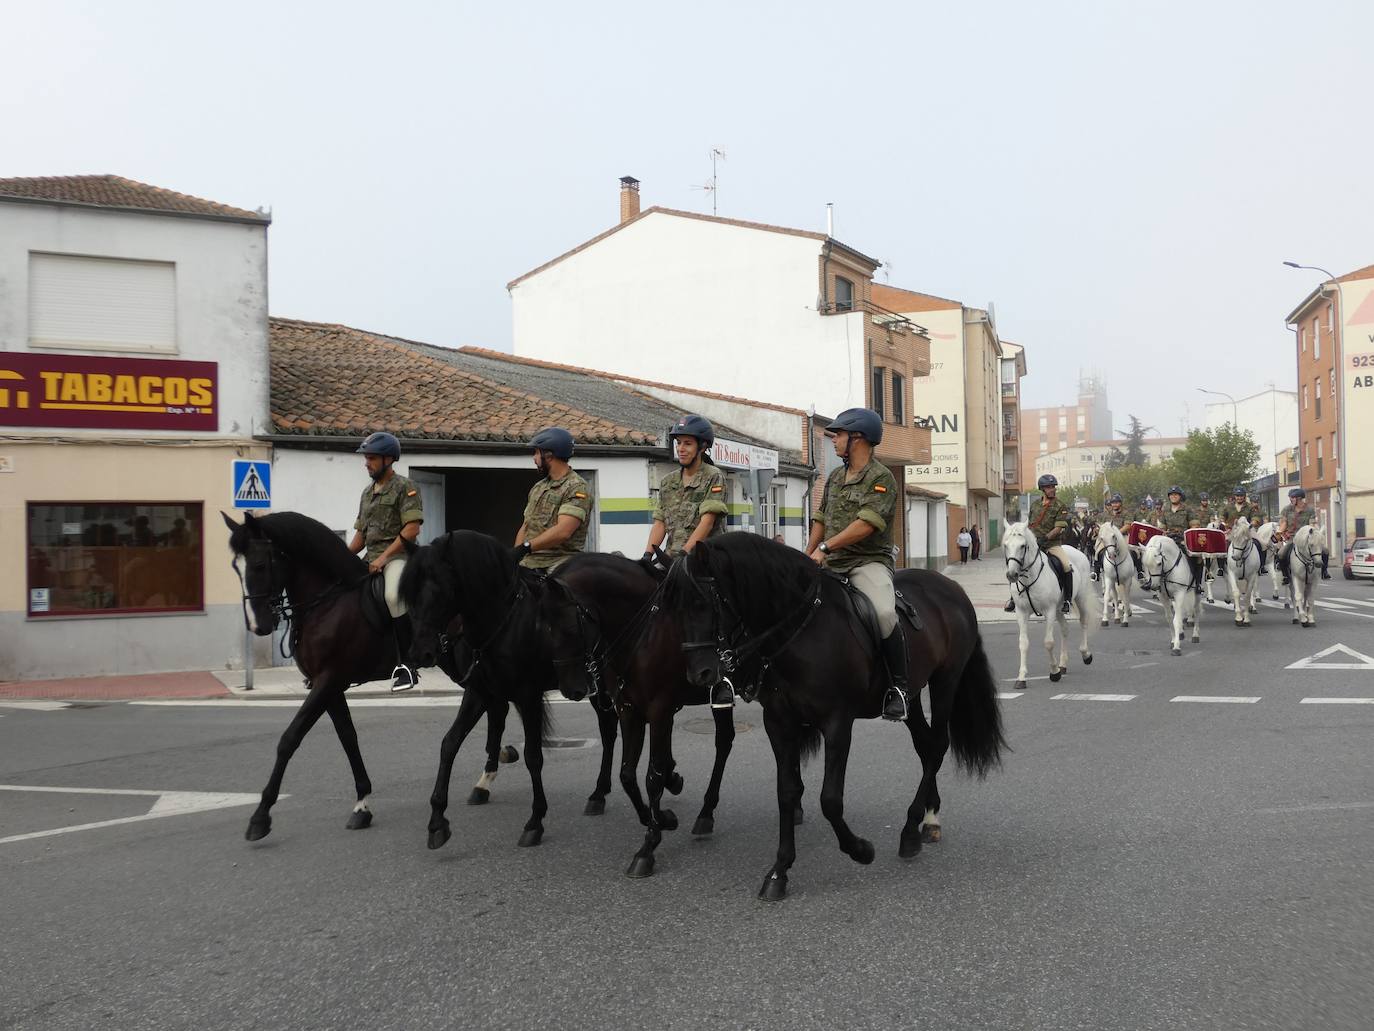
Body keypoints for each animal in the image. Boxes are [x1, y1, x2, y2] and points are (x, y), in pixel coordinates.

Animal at [225, 514, 516, 841]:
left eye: (261, 565)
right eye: (236, 567)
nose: (258, 626)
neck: (327, 603)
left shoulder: (329, 681)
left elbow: (290, 739)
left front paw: (260, 816)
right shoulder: (329, 685)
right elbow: (348, 738)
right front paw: (362, 804)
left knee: (491, 705)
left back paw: (489, 773)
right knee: (495, 706)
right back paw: (488, 775)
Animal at [401, 533, 621, 857]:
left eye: (441, 591)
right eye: (408, 593)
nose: (420, 653)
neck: (503, 622)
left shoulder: (526, 696)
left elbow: (533, 756)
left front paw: (535, 821)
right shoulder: (480, 692)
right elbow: (450, 744)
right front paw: (438, 821)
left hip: (599, 682)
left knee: (607, 730)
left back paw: (599, 793)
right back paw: (600, 793)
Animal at [538, 558, 752, 879]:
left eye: (567, 627)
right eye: (544, 630)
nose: (572, 690)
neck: (643, 635)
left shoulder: (659, 711)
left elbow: (653, 776)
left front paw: (648, 846)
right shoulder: (629, 710)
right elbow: (628, 775)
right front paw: (663, 817)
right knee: (725, 741)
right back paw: (704, 814)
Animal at [1000, 525, 1093, 695]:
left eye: (1022, 546)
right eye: (1006, 545)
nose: (1011, 575)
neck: (1029, 578)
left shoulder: (1049, 610)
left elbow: (1048, 643)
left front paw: (1054, 673)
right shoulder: (1022, 613)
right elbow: (1023, 643)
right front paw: (1021, 678)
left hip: (1080, 598)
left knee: (1084, 621)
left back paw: (1086, 655)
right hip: (1059, 609)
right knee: (1065, 628)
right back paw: (1063, 665)